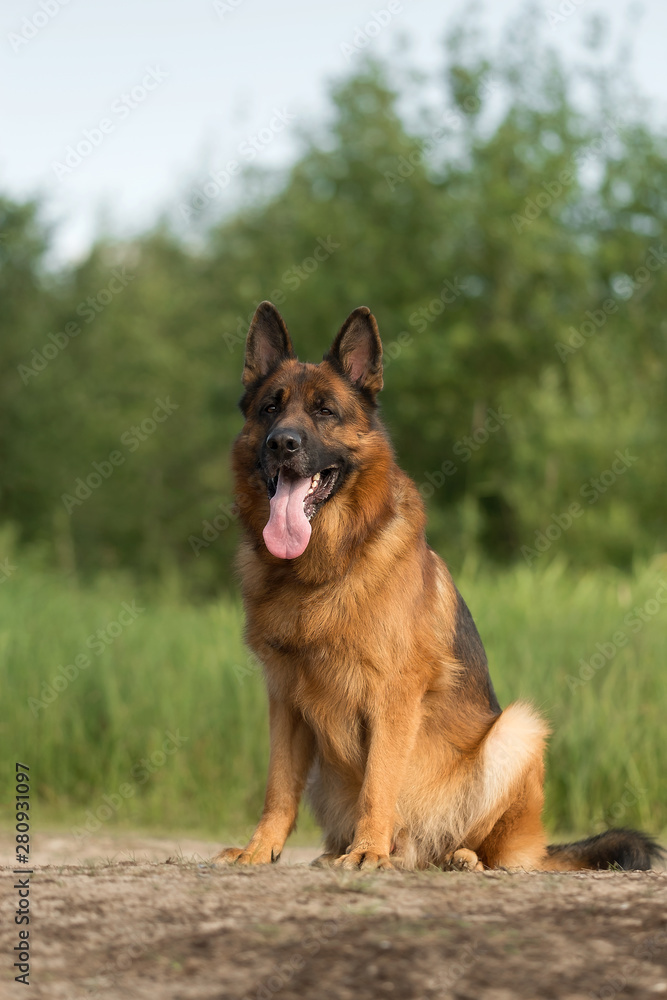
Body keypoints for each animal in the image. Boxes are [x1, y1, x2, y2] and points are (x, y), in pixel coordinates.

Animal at [218, 304, 664, 876]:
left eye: (325, 411)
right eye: (270, 409)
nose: (282, 443)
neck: (322, 570)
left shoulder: (392, 697)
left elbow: (379, 782)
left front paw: (369, 851)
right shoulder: (284, 702)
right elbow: (277, 787)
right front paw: (260, 849)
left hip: (517, 732)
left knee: (494, 849)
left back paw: (457, 855)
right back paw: (340, 852)